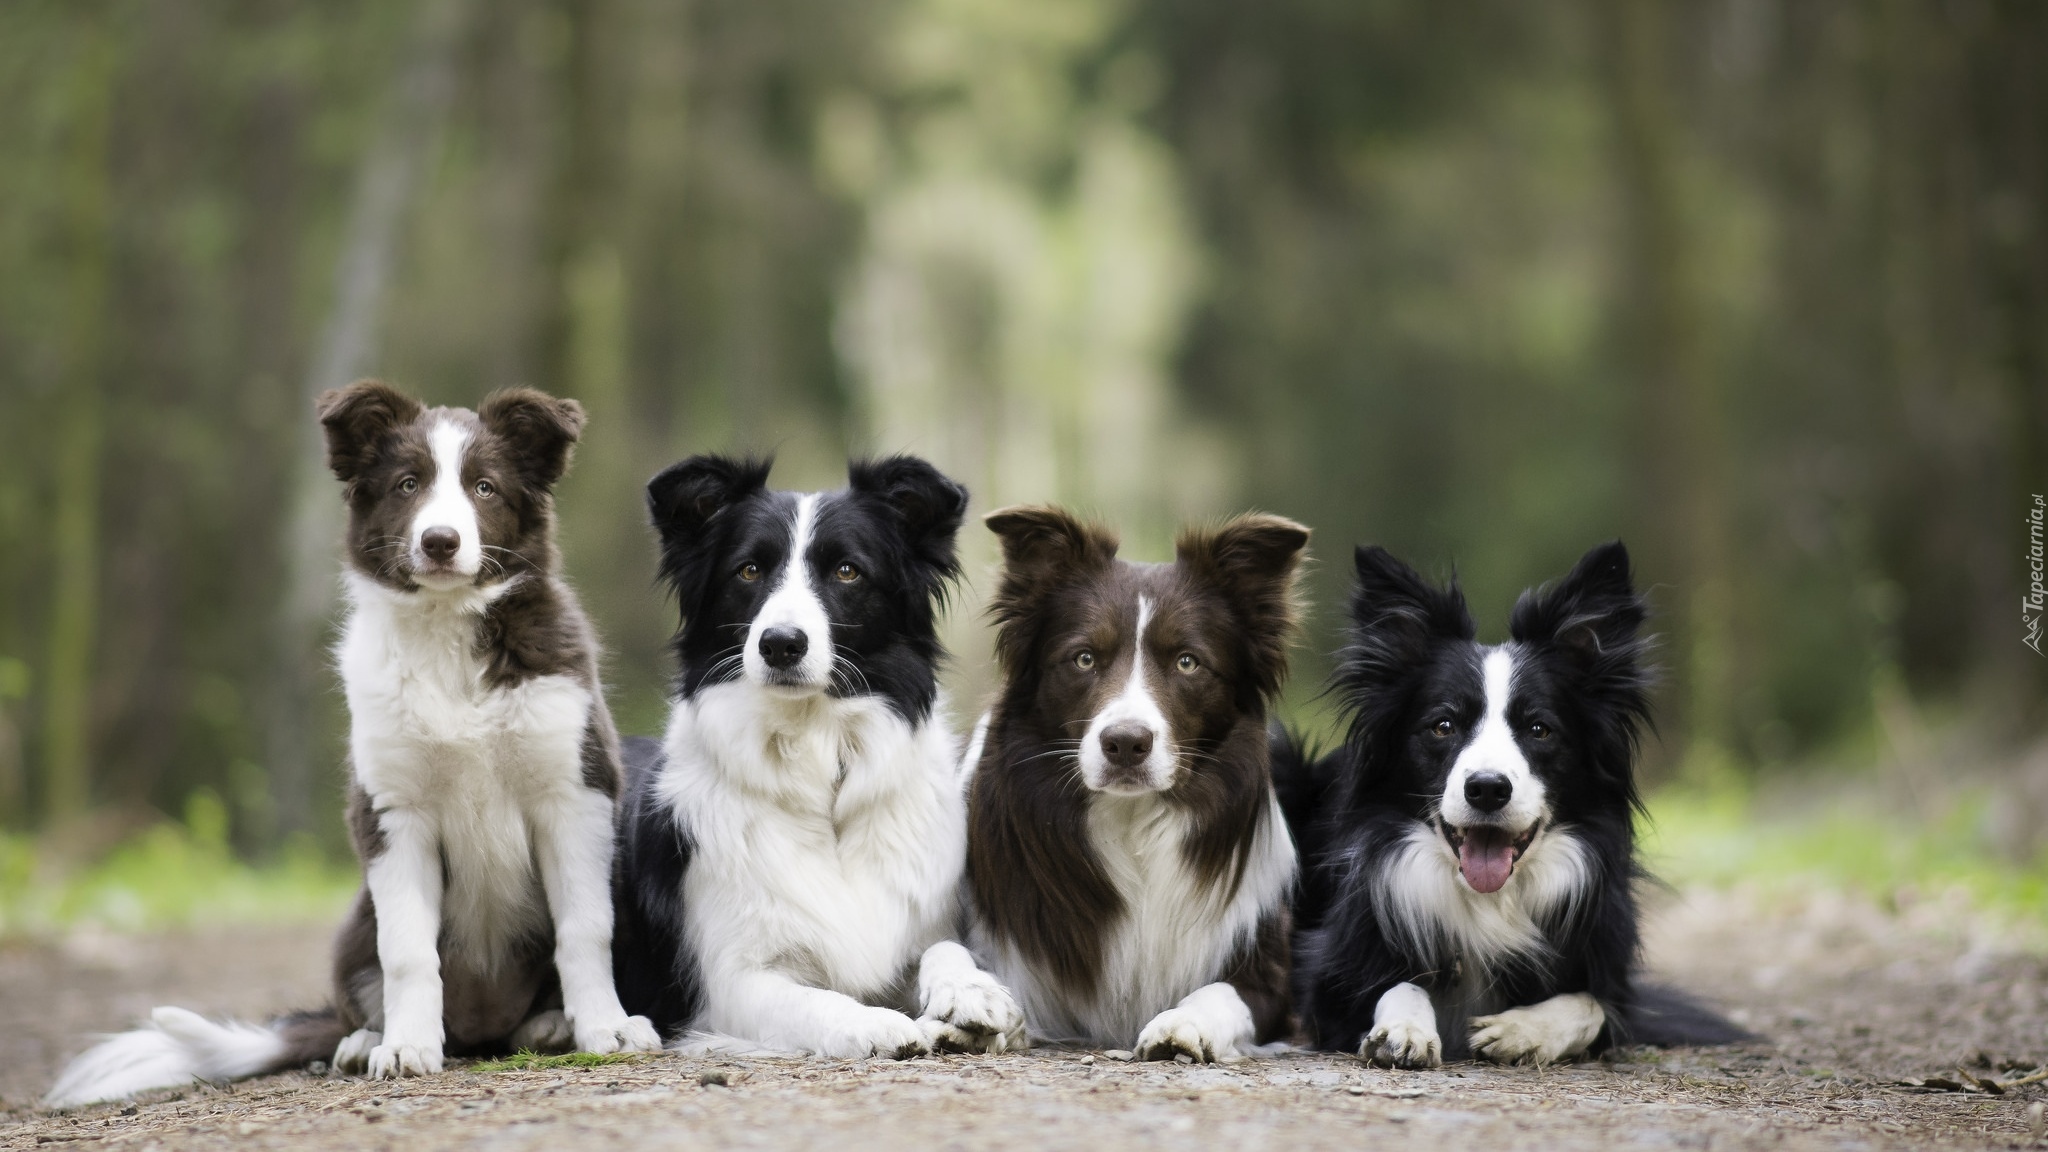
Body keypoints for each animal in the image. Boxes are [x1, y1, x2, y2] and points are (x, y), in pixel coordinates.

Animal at [44, 377, 655, 1106]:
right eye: (407, 484)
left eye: (484, 487)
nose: (440, 541)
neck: (447, 634)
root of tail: (481, 1026)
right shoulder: (392, 813)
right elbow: (409, 950)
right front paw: (407, 1048)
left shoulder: (574, 792)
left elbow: (585, 927)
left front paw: (607, 1030)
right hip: (353, 929)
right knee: (366, 992)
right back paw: (367, 1039)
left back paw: (551, 1025)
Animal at [606, 453, 1024, 1057]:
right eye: (748, 571)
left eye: (847, 571)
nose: (781, 643)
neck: (817, 765)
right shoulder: (731, 984)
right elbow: (811, 1000)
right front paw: (873, 1024)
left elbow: (945, 948)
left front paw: (971, 994)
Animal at [962, 502, 1310, 1057]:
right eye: (1084, 657)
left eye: (1188, 662)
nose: (1125, 743)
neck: (1131, 821)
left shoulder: (1269, 979)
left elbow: (1222, 993)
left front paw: (1182, 1024)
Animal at [1277, 541, 1744, 1065]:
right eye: (1443, 725)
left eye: (1539, 729)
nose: (1486, 788)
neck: (1489, 901)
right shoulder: (1324, 981)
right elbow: (1399, 985)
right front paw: (1404, 1030)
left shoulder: (1612, 981)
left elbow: (1590, 1004)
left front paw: (1522, 1029)